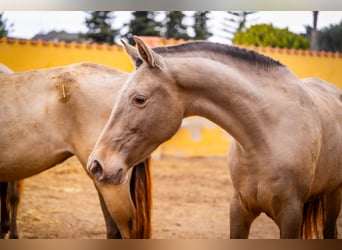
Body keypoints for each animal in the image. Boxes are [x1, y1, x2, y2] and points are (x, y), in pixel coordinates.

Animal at [88, 36, 342, 238]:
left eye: (139, 99)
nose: (96, 165)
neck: (266, 137)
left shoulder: (290, 214)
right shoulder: (239, 209)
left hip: (334, 196)